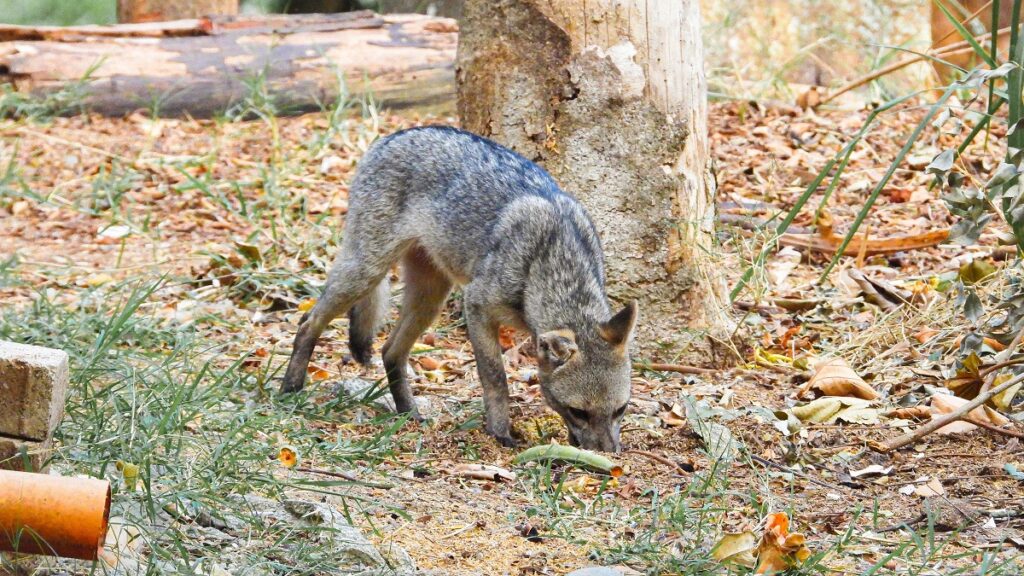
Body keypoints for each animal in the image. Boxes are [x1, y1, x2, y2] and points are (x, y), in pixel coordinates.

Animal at [280, 126, 638, 452]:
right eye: (579, 411)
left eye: (619, 410)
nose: (609, 456)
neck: (553, 259)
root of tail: (393, 135)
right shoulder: (477, 306)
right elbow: (496, 377)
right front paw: (500, 432)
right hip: (366, 273)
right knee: (308, 322)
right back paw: (290, 388)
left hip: (429, 299)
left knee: (390, 352)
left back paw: (409, 414)